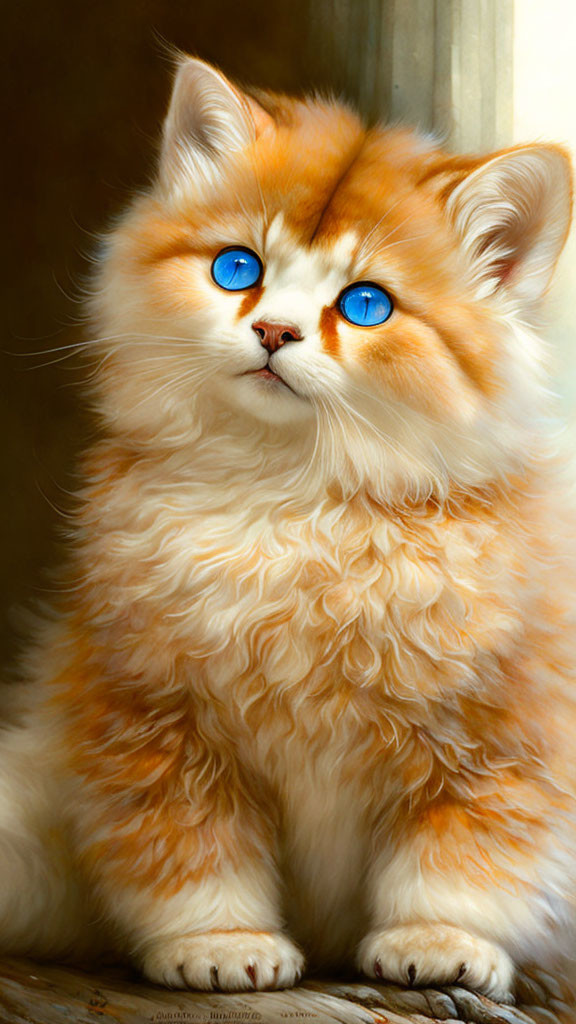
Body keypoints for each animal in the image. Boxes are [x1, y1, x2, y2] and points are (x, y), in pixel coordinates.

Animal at [1, 56, 573, 999]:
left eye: (368, 304)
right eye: (238, 269)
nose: (273, 330)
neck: (292, 499)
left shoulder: (500, 736)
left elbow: (466, 859)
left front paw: (439, 940)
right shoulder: (151, 720)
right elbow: (188, 853)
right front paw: (222, 945)